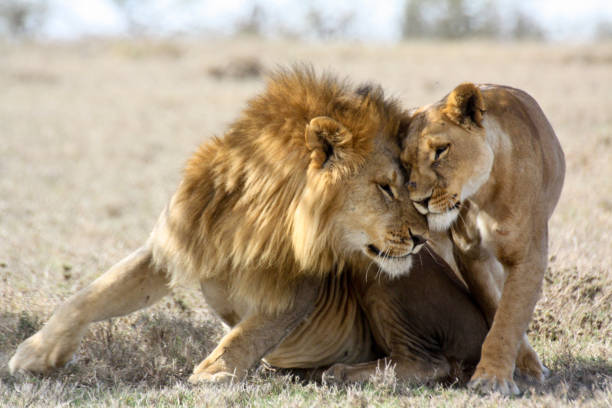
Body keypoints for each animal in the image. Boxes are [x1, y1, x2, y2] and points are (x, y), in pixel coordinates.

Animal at [7, 67, 436, 382]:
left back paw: (342, 372)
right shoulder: (171, 244)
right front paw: (34, 354)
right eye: (385, 187)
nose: (422, 238)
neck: (253, 217)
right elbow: (90, 295)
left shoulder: (299, 290)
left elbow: (247, 333)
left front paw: (211, 374)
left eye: (409, 185)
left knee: (427, 362)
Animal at [400, 81, 568, 394]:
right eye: (405, 164)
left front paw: (492, 379)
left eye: (441, 151)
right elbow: (496, 307)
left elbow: (509, 316)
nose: (419, 201)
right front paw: (514, 368)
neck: (482, 194)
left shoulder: (528, 256)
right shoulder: (470, 255)